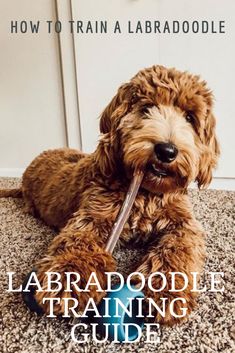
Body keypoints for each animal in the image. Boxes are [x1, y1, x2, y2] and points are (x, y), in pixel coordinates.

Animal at [0, 65, 219, 324]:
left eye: (189, 117)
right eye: (146, 108)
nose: (166, 151)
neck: (146, 193)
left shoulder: (183, 223)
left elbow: (179, 248)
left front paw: (168, 291)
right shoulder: (95, 213)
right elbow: (78, 241)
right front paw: (68, 280)